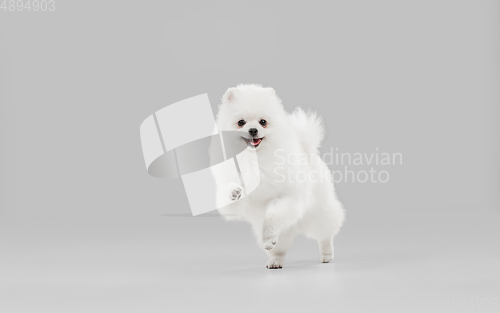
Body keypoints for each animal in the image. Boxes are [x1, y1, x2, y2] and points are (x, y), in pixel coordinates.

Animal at [213, 83, 346, 268]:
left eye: (263, 122)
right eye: (241, 122)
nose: (253, 130)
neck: (255, 159)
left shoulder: (286, 196)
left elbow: (272, 217)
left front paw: (269, 236)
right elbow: (232, 200)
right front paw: (234, 192)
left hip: (320, 213)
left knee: (325, 234)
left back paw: (326, 255)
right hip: (283, 235)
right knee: (280, 249)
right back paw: (275, 261)